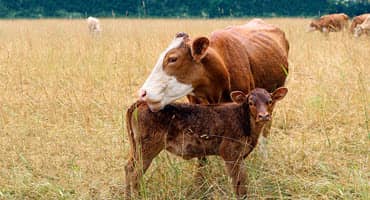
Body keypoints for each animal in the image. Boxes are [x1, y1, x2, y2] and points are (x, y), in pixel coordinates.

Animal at [125, 87, 288, 198]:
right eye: (251, 103)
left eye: (270, 101)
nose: (264, 116)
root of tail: (141, 103)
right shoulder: (230, 154)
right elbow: (237, 182)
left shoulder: (240, 156)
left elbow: (243, 180)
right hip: (147, 148)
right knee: (135, 173)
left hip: (136, 148)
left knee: (128, 168)